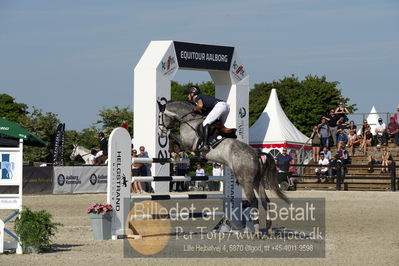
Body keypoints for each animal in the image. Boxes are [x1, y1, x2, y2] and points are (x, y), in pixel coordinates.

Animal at [158, 100, 290, 233]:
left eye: (159, 116)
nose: (160, 132)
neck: (189, 119)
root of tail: (256, 153)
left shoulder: (188, 143)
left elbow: (173, 136)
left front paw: (173, 148)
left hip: (245, 180)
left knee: (253, 201)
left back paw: (257, 230)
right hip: (258, 181)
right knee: (265, 201)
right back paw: (269, 229)